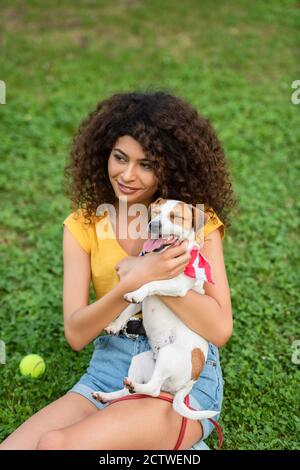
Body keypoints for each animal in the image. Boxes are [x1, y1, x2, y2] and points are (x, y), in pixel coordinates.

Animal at [91, 197, 218, 418]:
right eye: (155, 213)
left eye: (175, 216)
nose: (154, 225)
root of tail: (189, 383)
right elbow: (127, 308)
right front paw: (116, 325)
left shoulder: (177, 286)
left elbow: (151, 283)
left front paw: (137, 292)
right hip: (141, 360)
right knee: (129, 390)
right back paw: (108, 395)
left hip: (168, 356)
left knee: (153, 389)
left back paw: (136, 388)